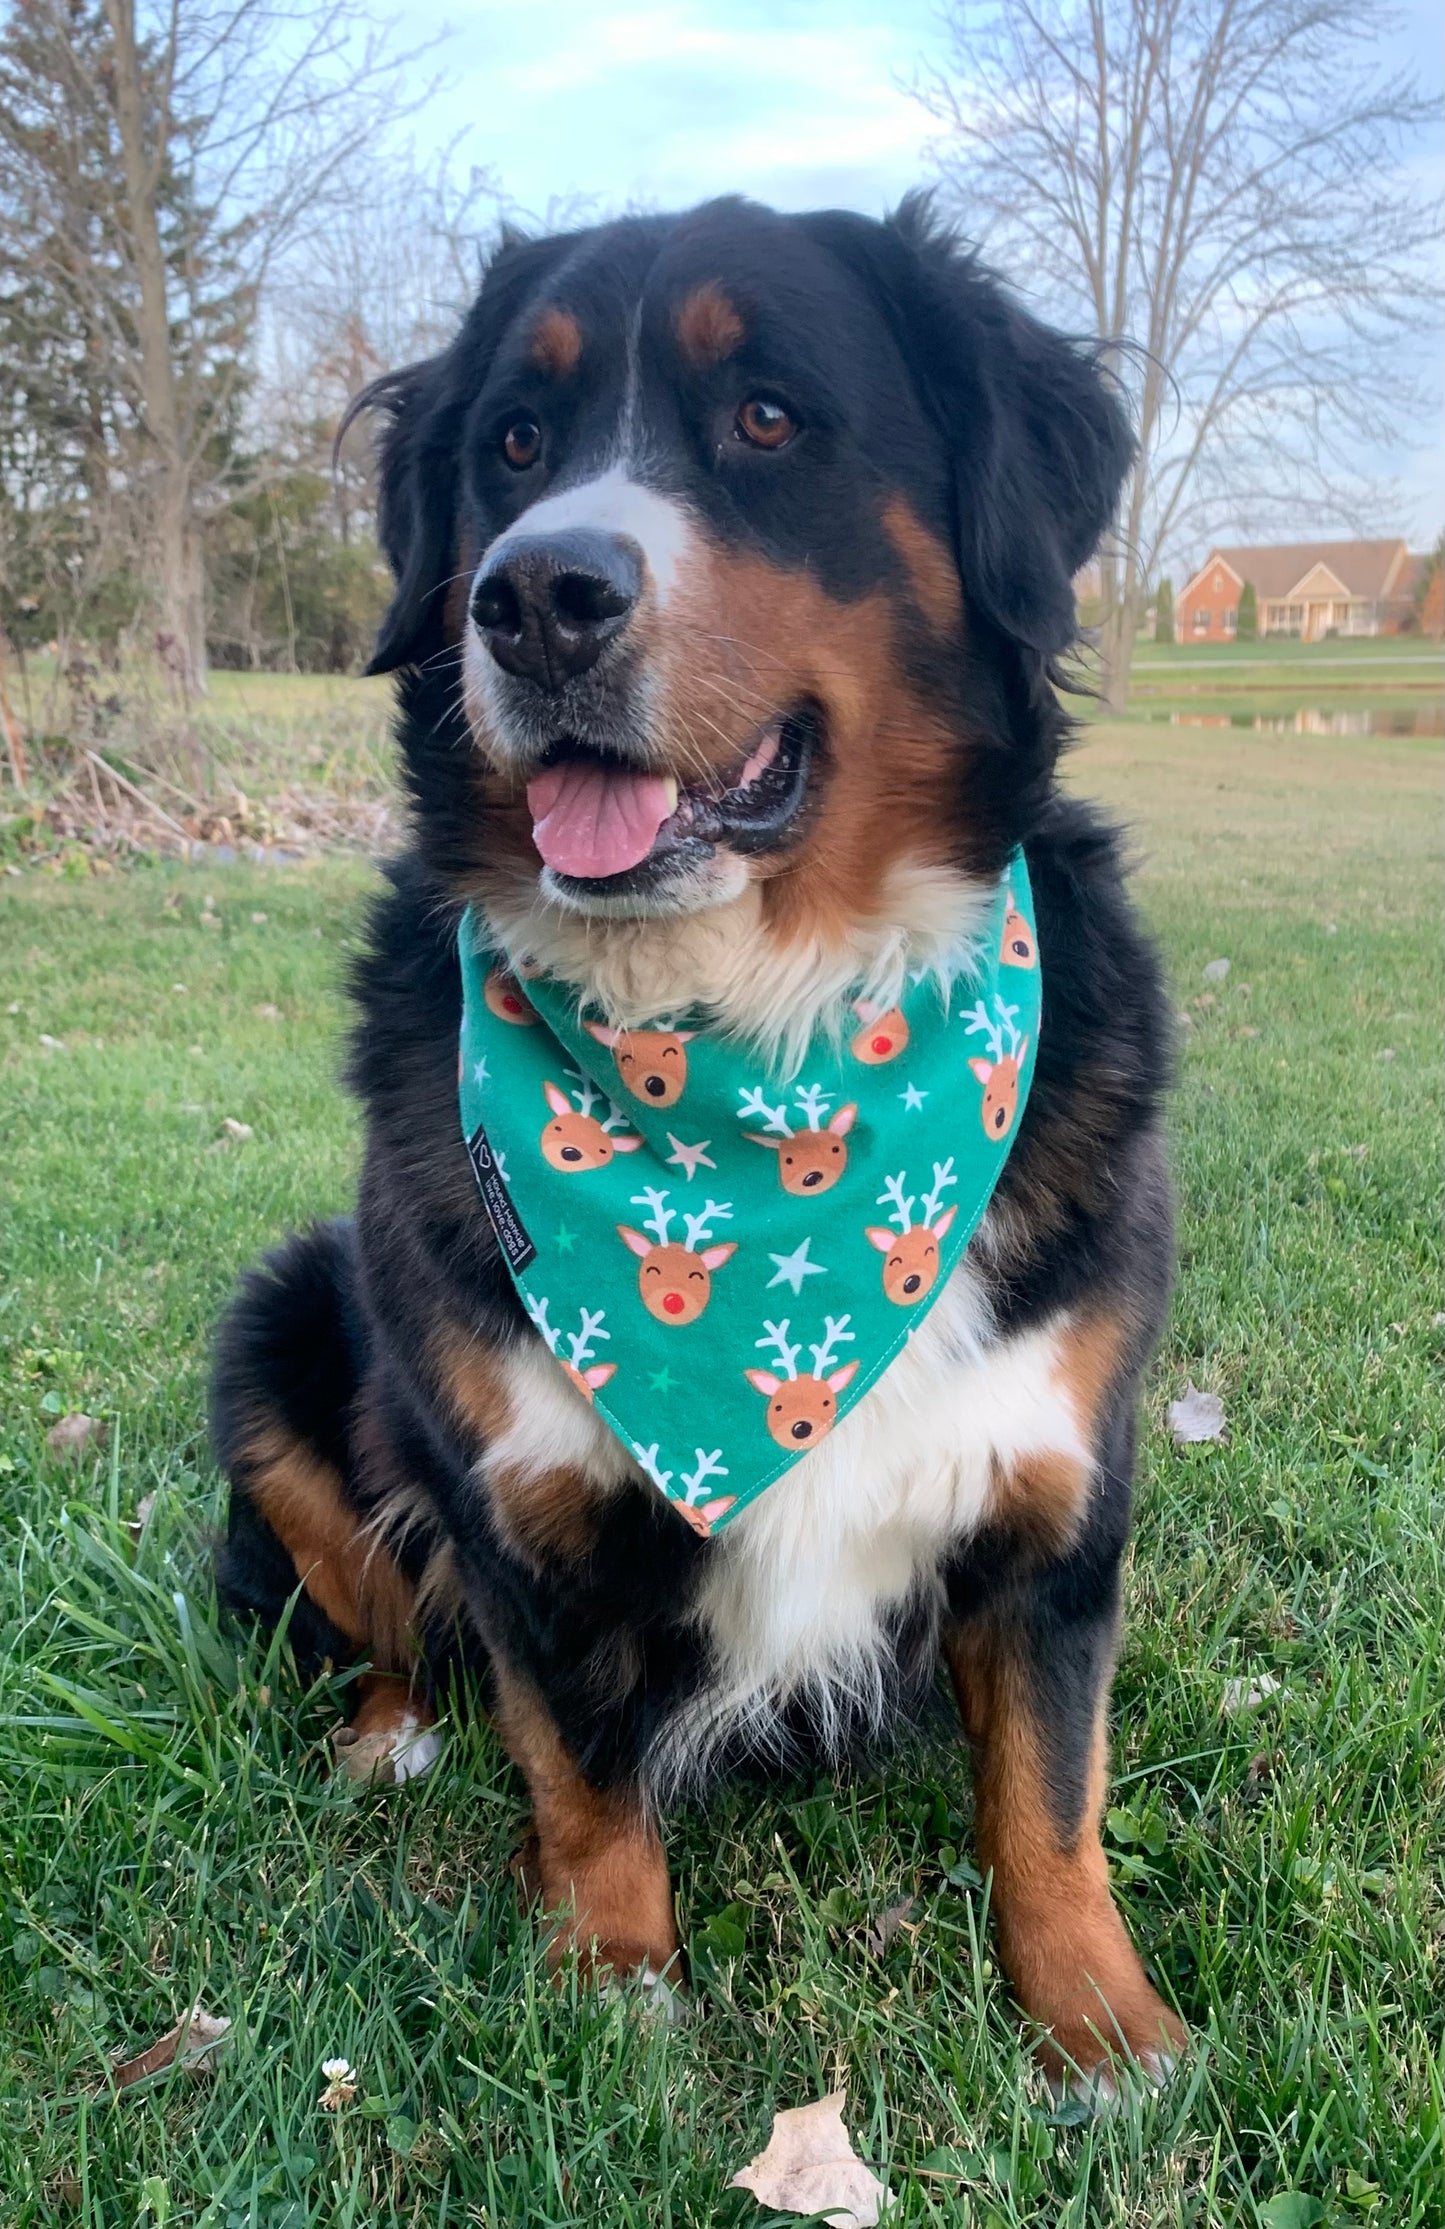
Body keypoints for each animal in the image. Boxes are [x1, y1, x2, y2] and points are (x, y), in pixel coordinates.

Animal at [214, 191, 1186, 2086]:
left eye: (769, 417)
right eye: (516, 443)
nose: (533, 593)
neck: (753, 1044)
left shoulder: (1059, 1495)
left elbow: (1050, 1795)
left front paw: (1107, 2029)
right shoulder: (514, 1510)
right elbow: (580, 1773)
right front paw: (613, 1986)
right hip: (278, 1334)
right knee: (369, 1616)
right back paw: (385, 1734)